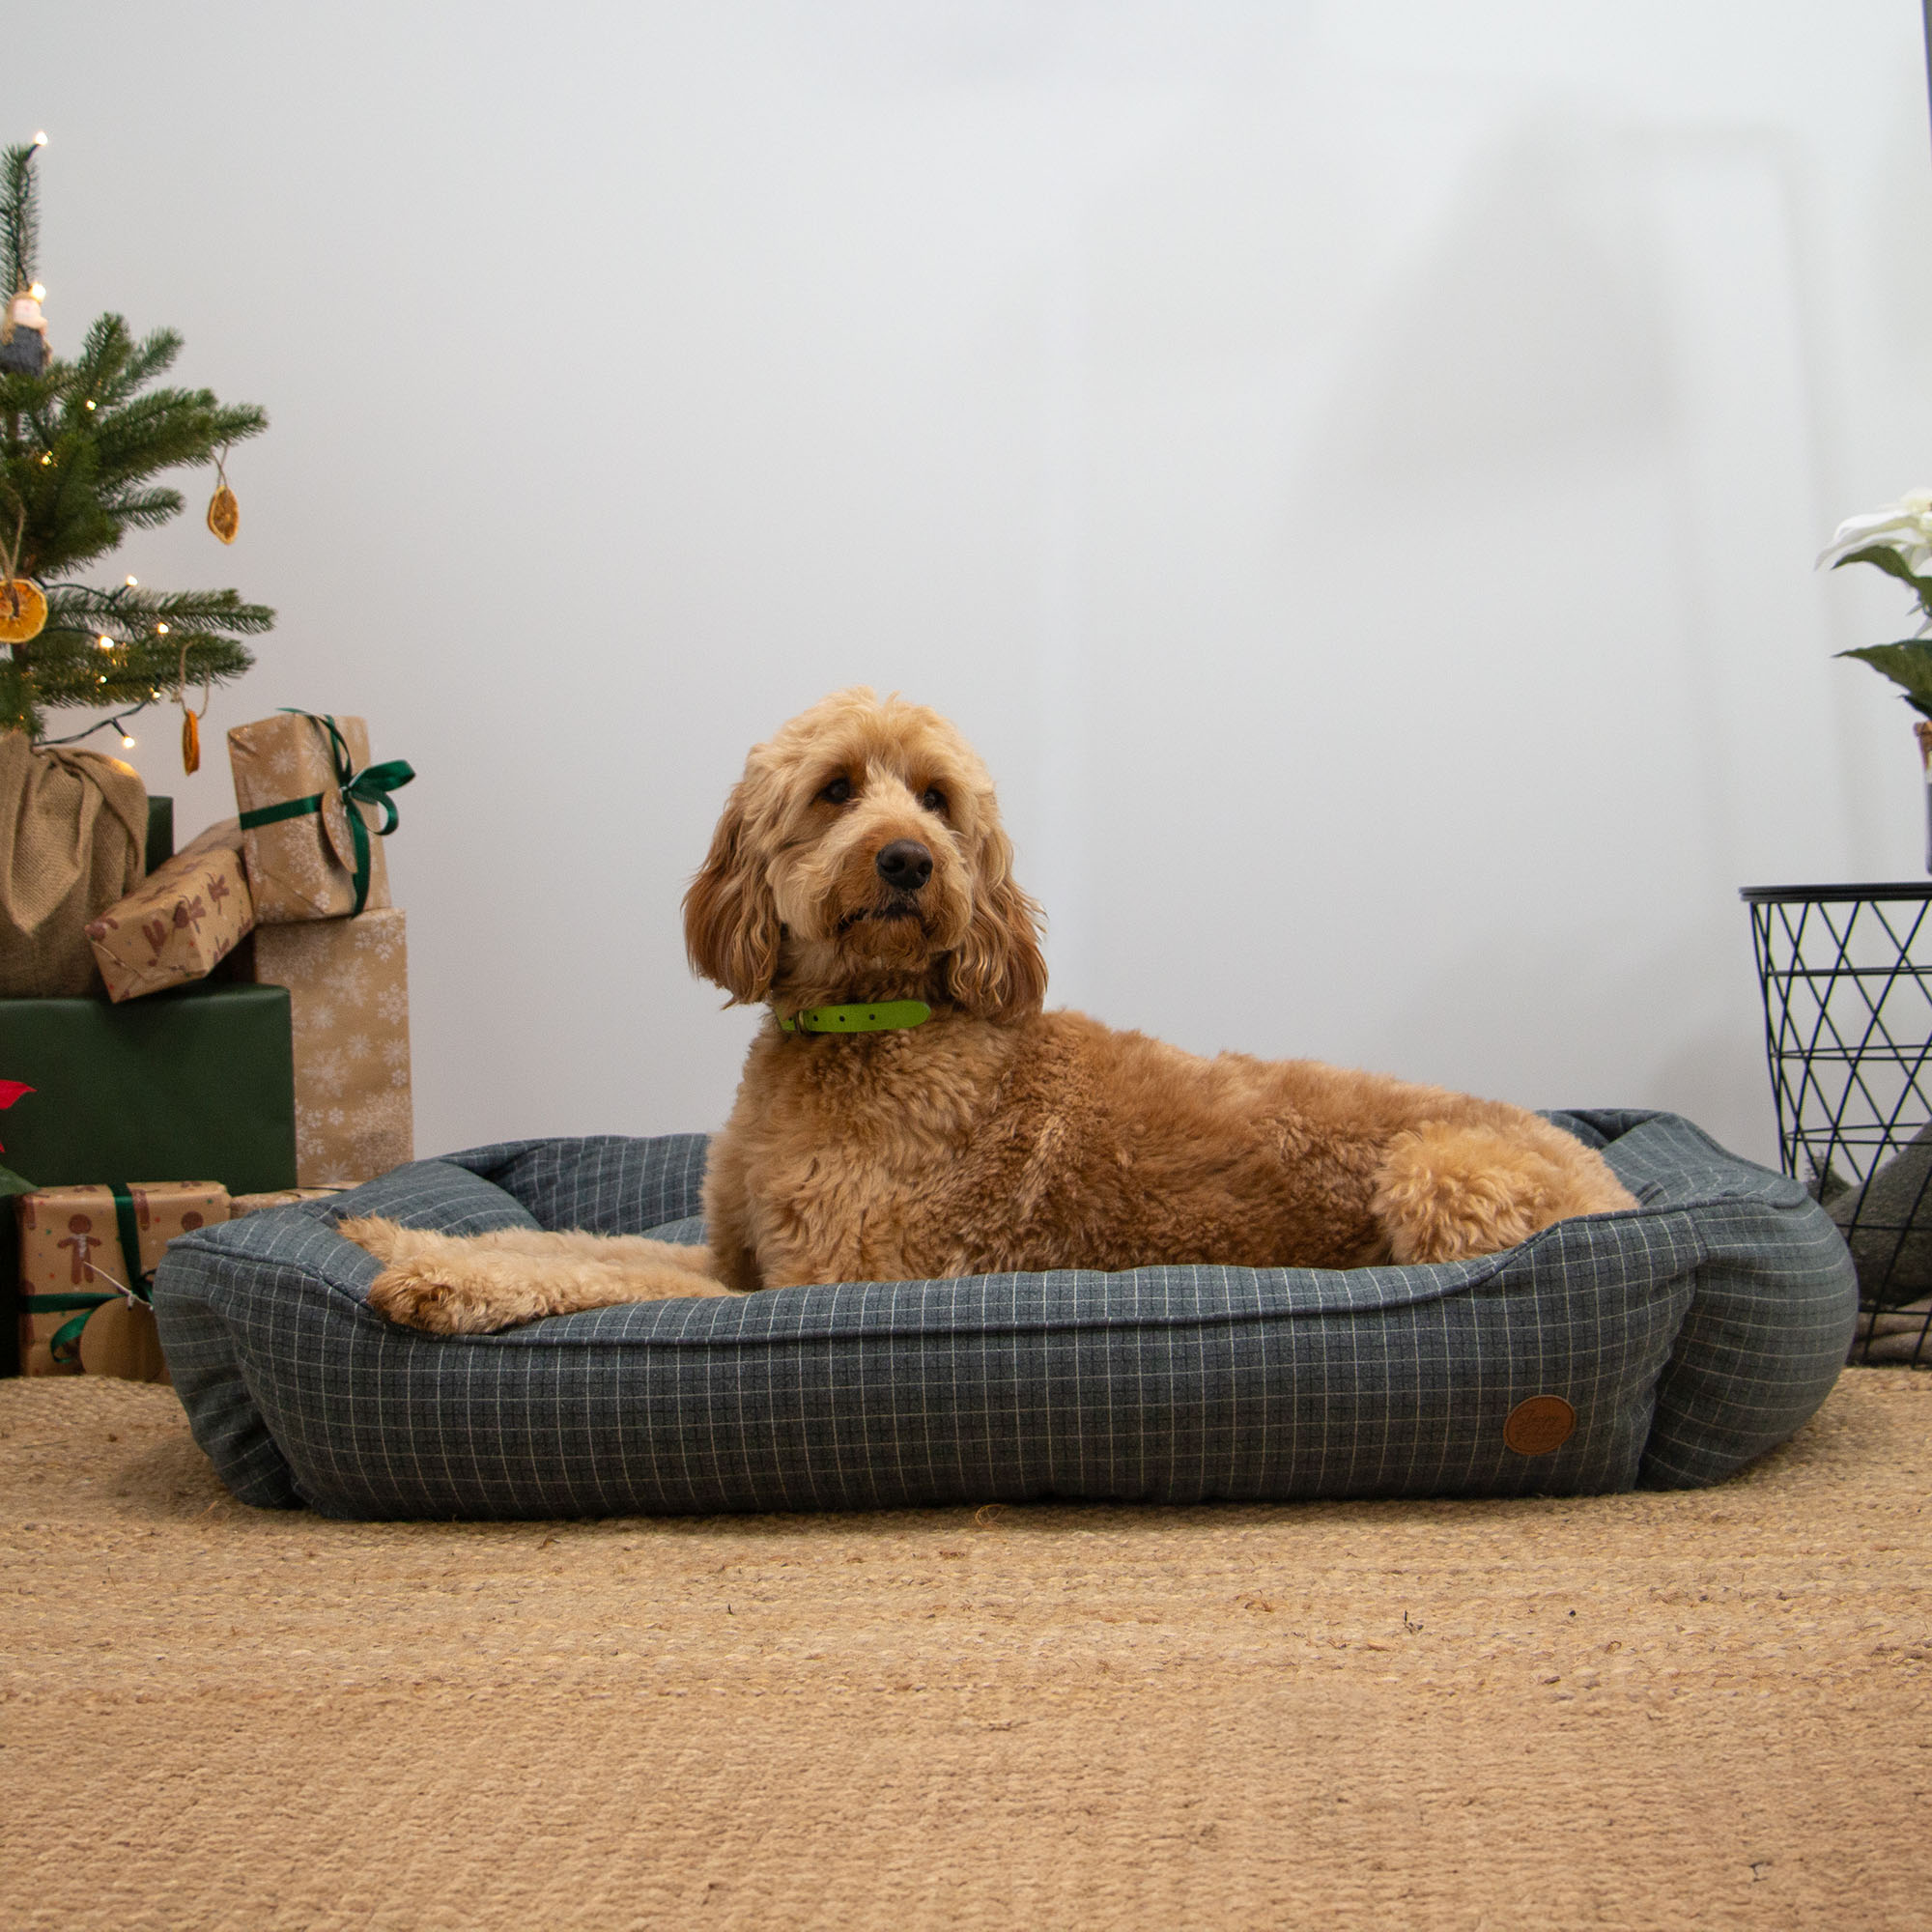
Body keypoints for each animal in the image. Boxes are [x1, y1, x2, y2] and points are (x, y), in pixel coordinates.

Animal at [347, 688, 1636, 1331]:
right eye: (835, 790)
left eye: (933, 797)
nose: (908, 860)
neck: (868, 1030)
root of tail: (1614, 1184)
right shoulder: (733, 1249)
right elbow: (571, 1243)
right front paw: (391, 1232)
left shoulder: (824, 1279)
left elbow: (610, 1275)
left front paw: (441, 1282)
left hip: (1435, 1174)